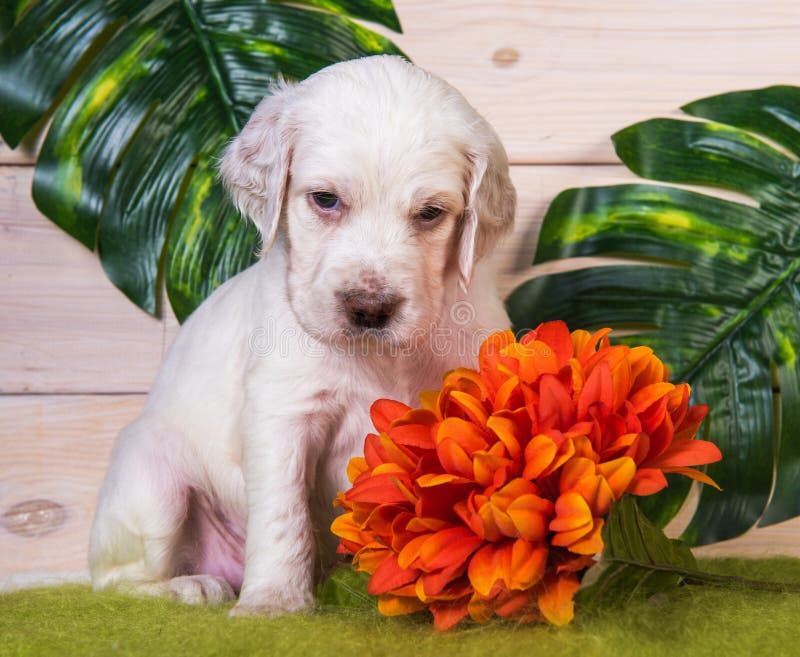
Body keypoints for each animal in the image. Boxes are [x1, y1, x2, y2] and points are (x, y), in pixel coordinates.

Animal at [87, 56, 512, 616]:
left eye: (430, 213)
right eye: (325, 200)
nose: (369, 309)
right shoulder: (282, 411)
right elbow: (281, 514)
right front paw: (272, 603)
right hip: (152, 477)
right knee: (113, 582)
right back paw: (190, 586)